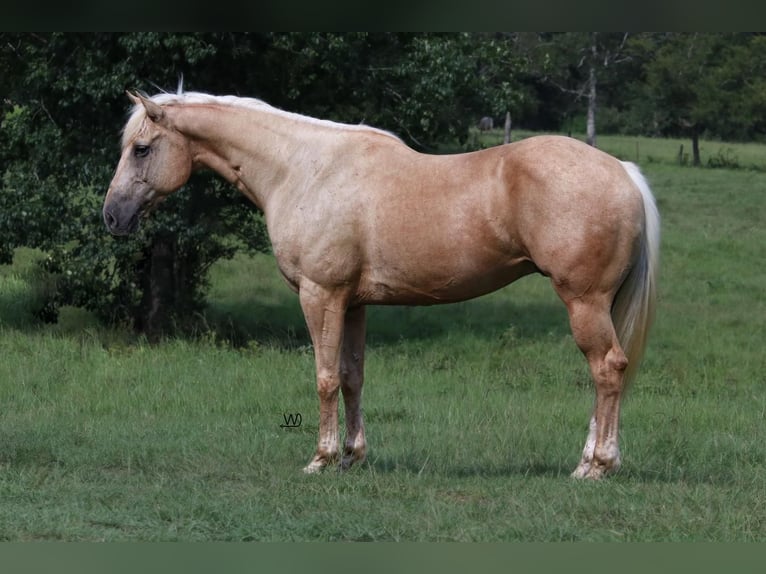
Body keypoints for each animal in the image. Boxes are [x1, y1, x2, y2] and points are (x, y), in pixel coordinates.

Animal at [103, 90, 660, 480]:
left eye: (142, 149)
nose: (113, 216)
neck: (304, 169)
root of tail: (622, 171)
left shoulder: (320, 295)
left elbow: (325, 377)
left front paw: (322, 458)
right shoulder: (352, 304)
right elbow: (352, 377)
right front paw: (353, 457)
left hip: (583, 302)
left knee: (607, 369)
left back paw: (596, 466)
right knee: (603, 374)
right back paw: (589, 459)